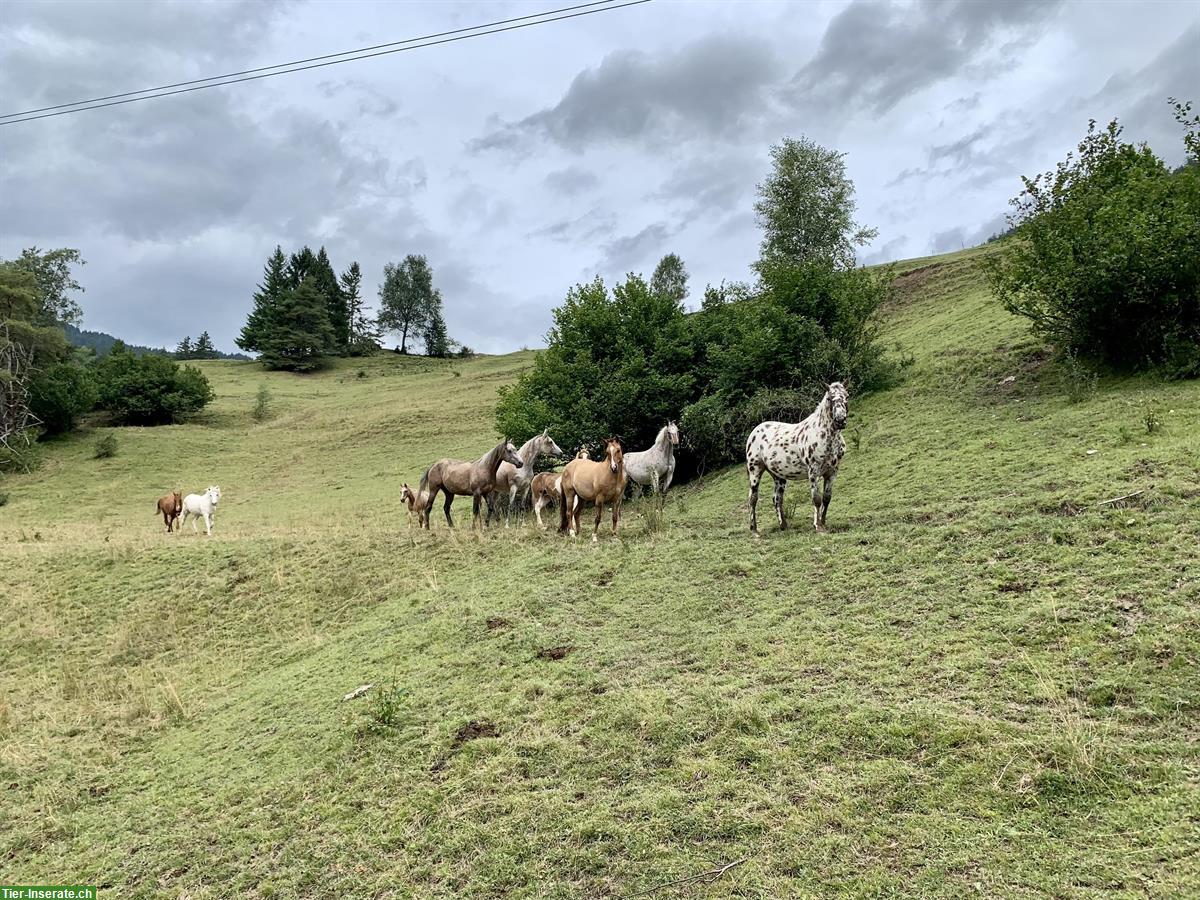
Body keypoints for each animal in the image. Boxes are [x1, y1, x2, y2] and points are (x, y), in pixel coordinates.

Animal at [744, 381, 849, 535]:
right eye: (830, 398)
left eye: (847, 396)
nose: (840, 420)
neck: (824, 435)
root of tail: (755, 431)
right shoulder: (814, 472)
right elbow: (816, 499)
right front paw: (818, 526)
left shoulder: (832, 472)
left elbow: (826, 498)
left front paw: (823, 523)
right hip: (755, 470)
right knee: (753, 498)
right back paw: (754, 530)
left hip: (778, 476)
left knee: (777, 499)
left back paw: (783, 526)